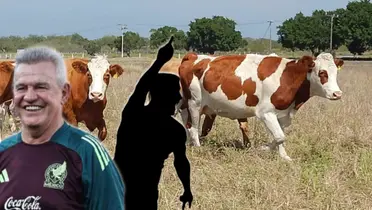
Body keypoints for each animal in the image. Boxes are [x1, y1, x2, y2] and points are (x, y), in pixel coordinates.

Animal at [179, 52, 344, 161]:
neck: (288, 77)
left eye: (335, 73)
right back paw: (198, 148)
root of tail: (192, 56)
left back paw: (188, 144)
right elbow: (279, 137)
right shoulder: (266, 113)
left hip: (189, 106)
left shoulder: (283, 115)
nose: (337, 94)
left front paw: (284, 156)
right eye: (322, 73)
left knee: (187, 126)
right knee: (193, 127)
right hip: (194, 103)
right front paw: (264, 148)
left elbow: (280, 136)